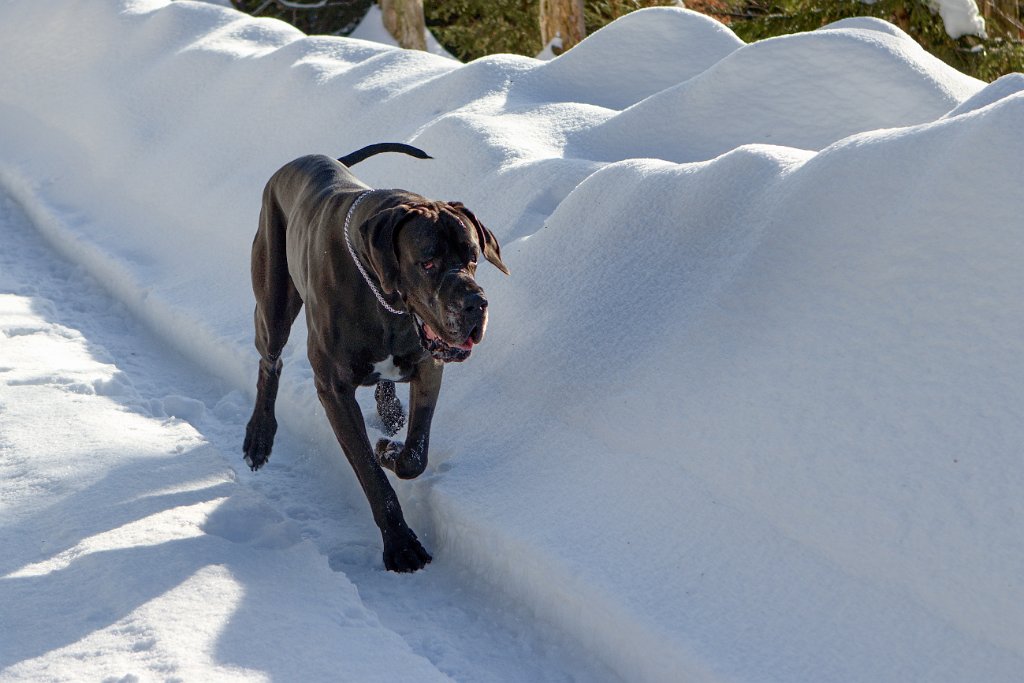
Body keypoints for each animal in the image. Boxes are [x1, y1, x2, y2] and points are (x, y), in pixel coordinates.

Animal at [240, 143, 512, 573]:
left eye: (473, 258)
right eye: (428, 262)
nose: (476, 304)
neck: (386, 300)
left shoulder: (429, 366)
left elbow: (416, 455)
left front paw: (390, 449)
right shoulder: (333, 390)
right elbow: (371, 475)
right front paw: (401, 545)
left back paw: (390, 412)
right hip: (273, 303)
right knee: (270, 362)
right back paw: (259, 437)